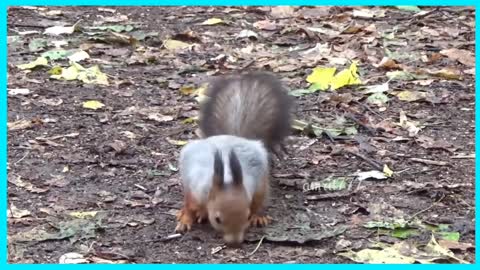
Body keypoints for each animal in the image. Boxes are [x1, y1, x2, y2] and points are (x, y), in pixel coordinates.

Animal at [173, 71, 290, 247]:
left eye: (246, 216)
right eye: (217, 219)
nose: (235, 242)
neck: (227, 178)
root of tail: (233, 136)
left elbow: (256, 203)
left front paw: (257, 216)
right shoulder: (195, 189)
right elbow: (189, 206)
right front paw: (185, 220)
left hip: (262, 180)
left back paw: (259, 215)